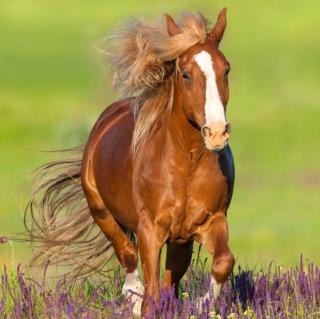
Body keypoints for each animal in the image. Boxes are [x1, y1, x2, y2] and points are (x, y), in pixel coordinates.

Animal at [25, 6, 235, 318]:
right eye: (185, 74)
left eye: (226, 70)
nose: (217, 133)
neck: (185, 164)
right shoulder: (150, 229)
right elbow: (150, 293)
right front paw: (144, 301)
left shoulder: (212, 220)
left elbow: (223, 262)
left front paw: (201, 304)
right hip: (101, 211)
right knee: (127, 254)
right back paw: (132, 297)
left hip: (180, 239)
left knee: (169, 278)